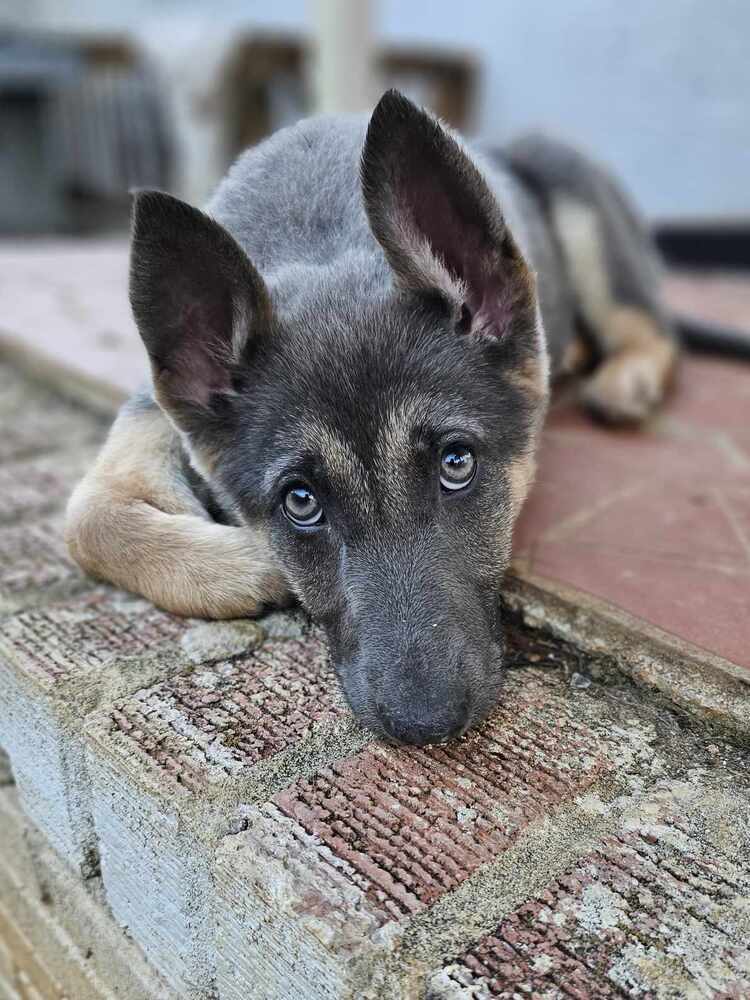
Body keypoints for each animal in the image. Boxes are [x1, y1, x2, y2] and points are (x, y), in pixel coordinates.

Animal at [67, 92, 684, 744]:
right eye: (301, 501)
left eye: (457, 463)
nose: (426, 725)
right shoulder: (143, 416)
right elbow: (89, 520)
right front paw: (247, 564)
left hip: (578, 208)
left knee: (650, 326)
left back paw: (625, 379)